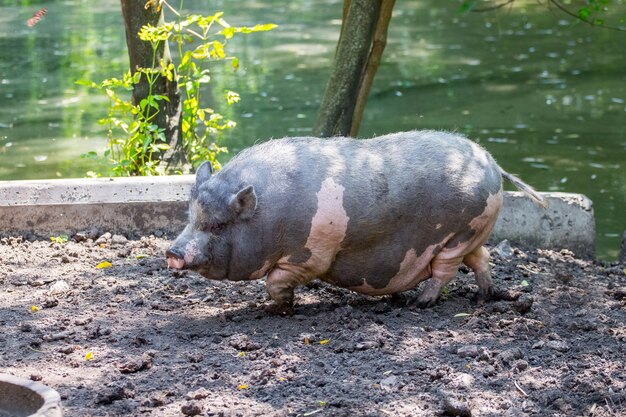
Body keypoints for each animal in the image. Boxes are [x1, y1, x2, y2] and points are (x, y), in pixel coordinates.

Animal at [166, 130, 540, 312]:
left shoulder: (311, 256)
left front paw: (283, 309)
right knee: (482, 259)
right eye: (191, 216)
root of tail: (491, 162)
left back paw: (419, 304)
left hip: (457, 233)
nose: (172, 252)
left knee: (446, 270)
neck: (269, 216)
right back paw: (482, 299)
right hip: (472, 233)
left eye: (218, 225)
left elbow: (275, 282)